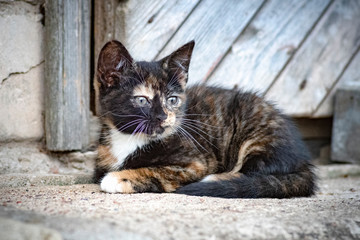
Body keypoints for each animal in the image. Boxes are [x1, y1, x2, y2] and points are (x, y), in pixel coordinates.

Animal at [94, 39, 316, 199]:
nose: (163, 116)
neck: (130, 138)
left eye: (172, 100)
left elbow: (156, 171)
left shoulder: (196, 163)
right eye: (142, 100)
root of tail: (303, 160)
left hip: (256, 133)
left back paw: (214, 180)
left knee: (259, 173)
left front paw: (118, 178)